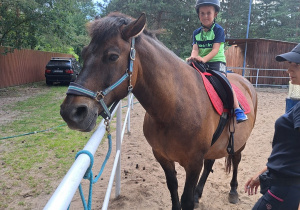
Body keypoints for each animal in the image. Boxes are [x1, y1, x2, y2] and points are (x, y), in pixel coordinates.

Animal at [59, 12, 256, 209]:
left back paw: (233, 191)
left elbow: (186, 198)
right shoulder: (163, 157)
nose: (71, 112)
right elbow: (173, 188)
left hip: (240, 143)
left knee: (236, 161)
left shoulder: (194, 164)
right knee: (210, 164)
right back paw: (199, 193)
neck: (174, 109)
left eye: (113, 56)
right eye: (84, 53)